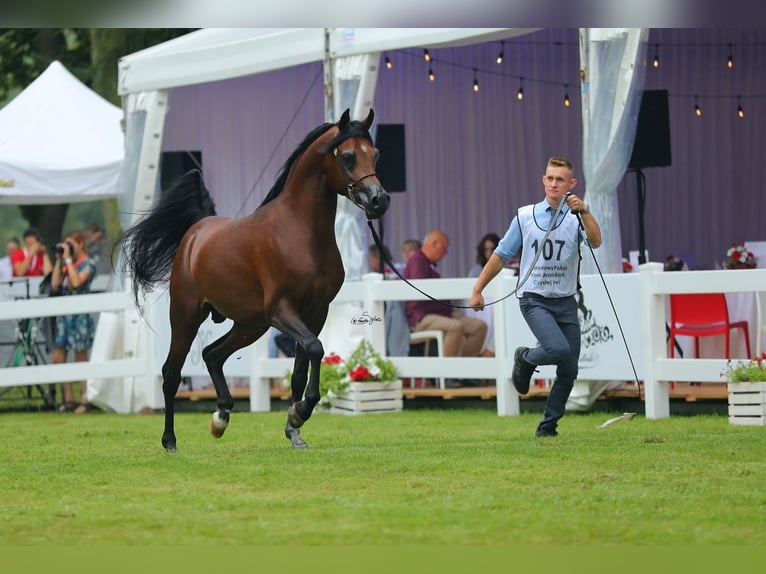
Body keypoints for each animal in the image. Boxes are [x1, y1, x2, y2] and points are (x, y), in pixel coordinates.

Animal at [117, 107, 392, 450]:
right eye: (348, 156)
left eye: (376, 154)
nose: (379, 200)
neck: (300, 233)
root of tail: (196, 230)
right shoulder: (282, 311)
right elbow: (316, 349)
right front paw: (299, 413)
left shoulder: (315, 313)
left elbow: (301, 371)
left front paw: (294, 429)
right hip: (186, 317)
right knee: (171, 373)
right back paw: (170, 441)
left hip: (250, 325)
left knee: (212, 355)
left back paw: (220, 417)